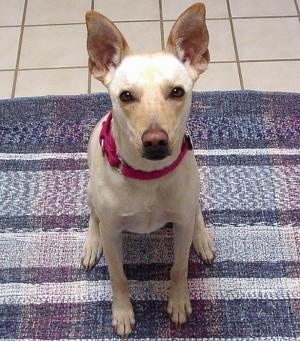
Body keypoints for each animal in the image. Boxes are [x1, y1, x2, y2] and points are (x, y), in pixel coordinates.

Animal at [81, 2, 214, 336]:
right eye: (126, 95)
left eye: (177, 91)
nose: (155, 141)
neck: (148, 177)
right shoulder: (113, 233)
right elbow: (118, 276)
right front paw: (123, 313)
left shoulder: (180, 225)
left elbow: (179, 267)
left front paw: (178, 301)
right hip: (90, 191)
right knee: (93, 216)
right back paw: (91, 243)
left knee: (195, 211)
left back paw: (203, 238)